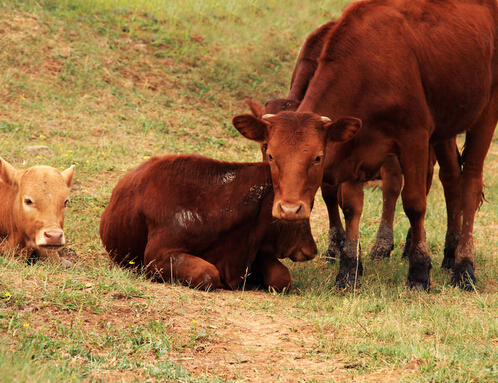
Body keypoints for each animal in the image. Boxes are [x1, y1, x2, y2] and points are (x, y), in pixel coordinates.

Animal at [234, 0, 498, 290]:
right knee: (450, 178)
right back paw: (449, 252)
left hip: (485, 110)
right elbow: (350, 206)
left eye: (317, 157)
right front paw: (349, 268)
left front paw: (418, 271)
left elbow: (414, 202)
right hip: (445, 126)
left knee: (469, 182)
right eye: (269, 153)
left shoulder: (414, 137)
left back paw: (463, 266)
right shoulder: (352, 146)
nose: (289, 209)